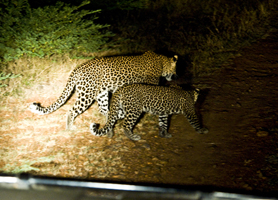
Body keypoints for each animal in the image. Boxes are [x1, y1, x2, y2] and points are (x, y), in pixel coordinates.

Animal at [28, 51, 178, 130]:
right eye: (176, 69)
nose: (175, 75)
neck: (161, 62)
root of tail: (77, 69)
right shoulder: (150, 85)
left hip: (101, 94)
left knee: (103, 109)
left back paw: (112, 122)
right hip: (87, 94)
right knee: (72, 110)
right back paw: (70, 128)